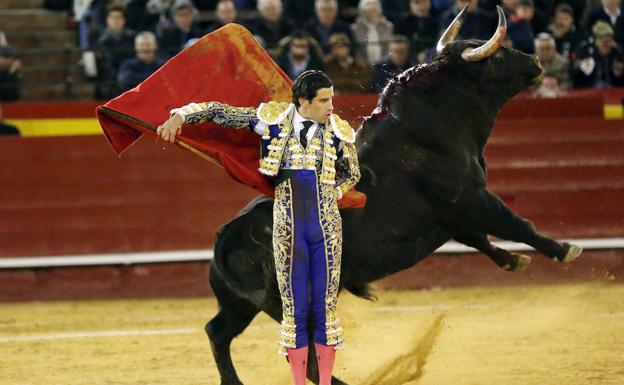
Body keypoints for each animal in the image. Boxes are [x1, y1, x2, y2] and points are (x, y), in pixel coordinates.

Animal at [204, 12, 580, 384]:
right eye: (498, 57)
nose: (535, 60)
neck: (431, 128)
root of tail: (227, 235)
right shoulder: (472, 198)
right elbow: (518, 225)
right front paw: (565, 249)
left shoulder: (456, 217)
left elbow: (481, 239)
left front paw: (514, 261)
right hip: (295, 301)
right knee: (304, 356)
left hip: (241, 304)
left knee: (218, 331)